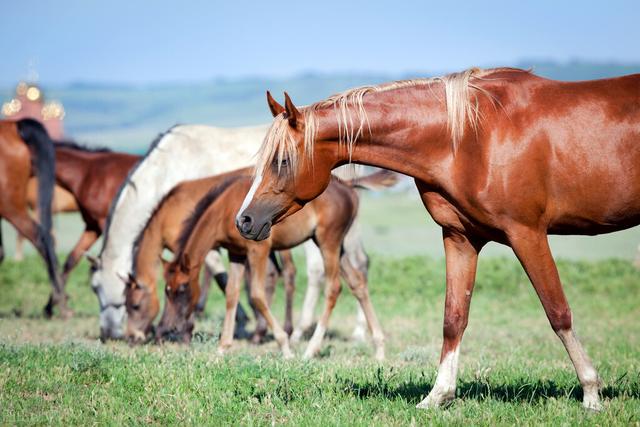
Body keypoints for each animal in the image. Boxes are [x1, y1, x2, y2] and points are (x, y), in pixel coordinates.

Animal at [160, 171, 390, 362]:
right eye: (167, 291)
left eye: (183, 289)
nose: (171, 328)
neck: (224, 208)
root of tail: (348, 186)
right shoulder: (236, 253)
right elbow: (231, 293)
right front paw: (222, 348)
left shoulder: (258, 249)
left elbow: (256, 294)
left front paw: (285, 347)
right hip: (330, 243)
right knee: (357, 283)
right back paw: (379, 349)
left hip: (329, 241)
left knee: (334, 288)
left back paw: (311, 349)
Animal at [235, 67, 640, 412]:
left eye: (282, 161)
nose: (245, 220)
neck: (472, 136)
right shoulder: (460, 238)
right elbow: (453, 317)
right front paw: (438, 394)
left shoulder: (527, 233)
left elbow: (558, 311)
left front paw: (591, 393)